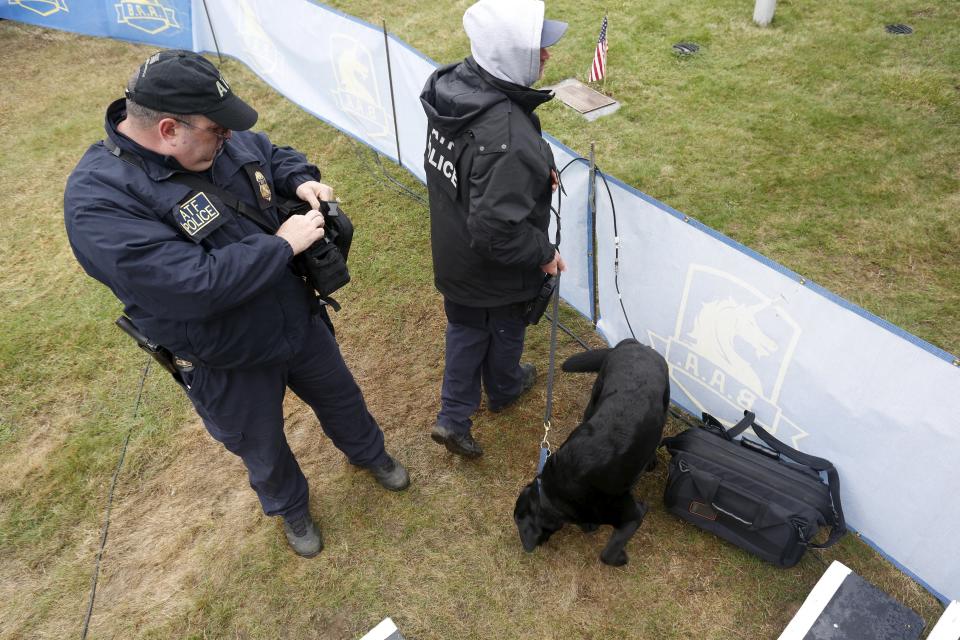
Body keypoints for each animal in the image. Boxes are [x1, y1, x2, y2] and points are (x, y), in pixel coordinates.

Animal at [516, 338, 668, 568]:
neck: (552, 493)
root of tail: (635, 344)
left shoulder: (631, 515)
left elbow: (607, 553)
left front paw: (621, 557)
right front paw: (589, 526)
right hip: (595, 399)